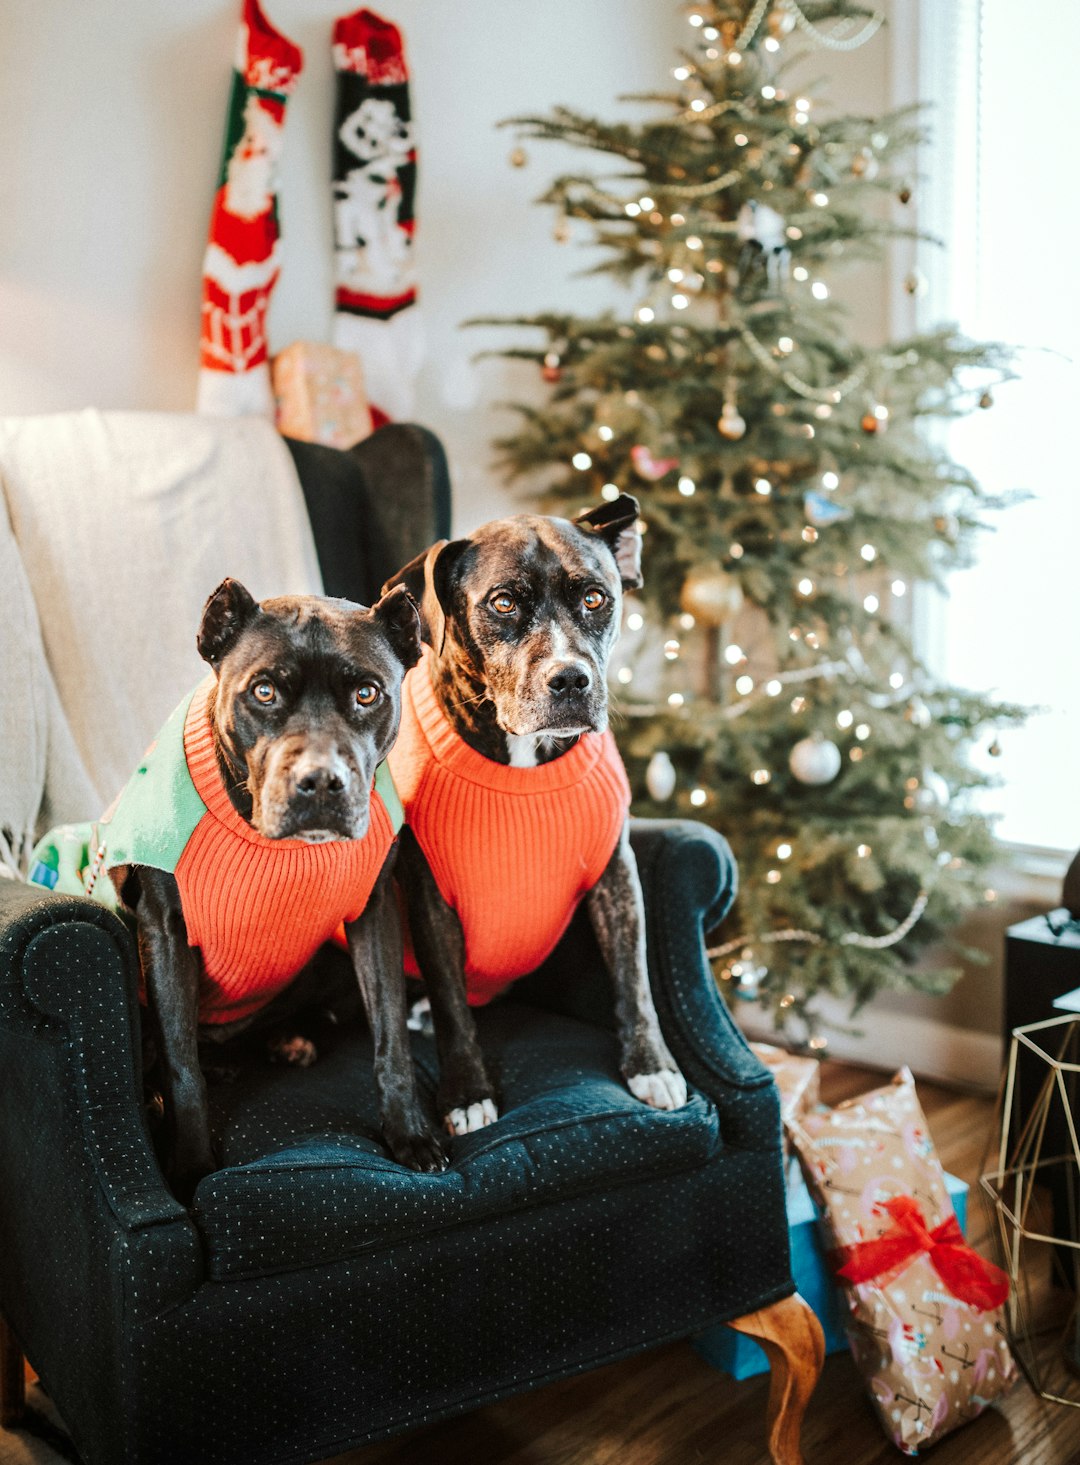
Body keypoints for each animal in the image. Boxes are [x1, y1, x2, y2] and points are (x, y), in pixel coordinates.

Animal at [107, 577, 445, 1195]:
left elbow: (392, 1040)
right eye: (263, 691)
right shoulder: (163, 933)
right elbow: (181, 1066)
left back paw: (289, 1039)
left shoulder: (374, 914)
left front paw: (408, 1135)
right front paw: (191, 1165)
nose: (321, 782)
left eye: (367, 694)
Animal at [383, 492, 685, 1130]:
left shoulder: (617, 875)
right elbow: (451, 1007)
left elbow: (636, 979)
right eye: (503, 603)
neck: (525, 762)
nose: (570, 679)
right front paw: (467, 1093)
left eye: (595, 598)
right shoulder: (429, 899)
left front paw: (652, 1065)